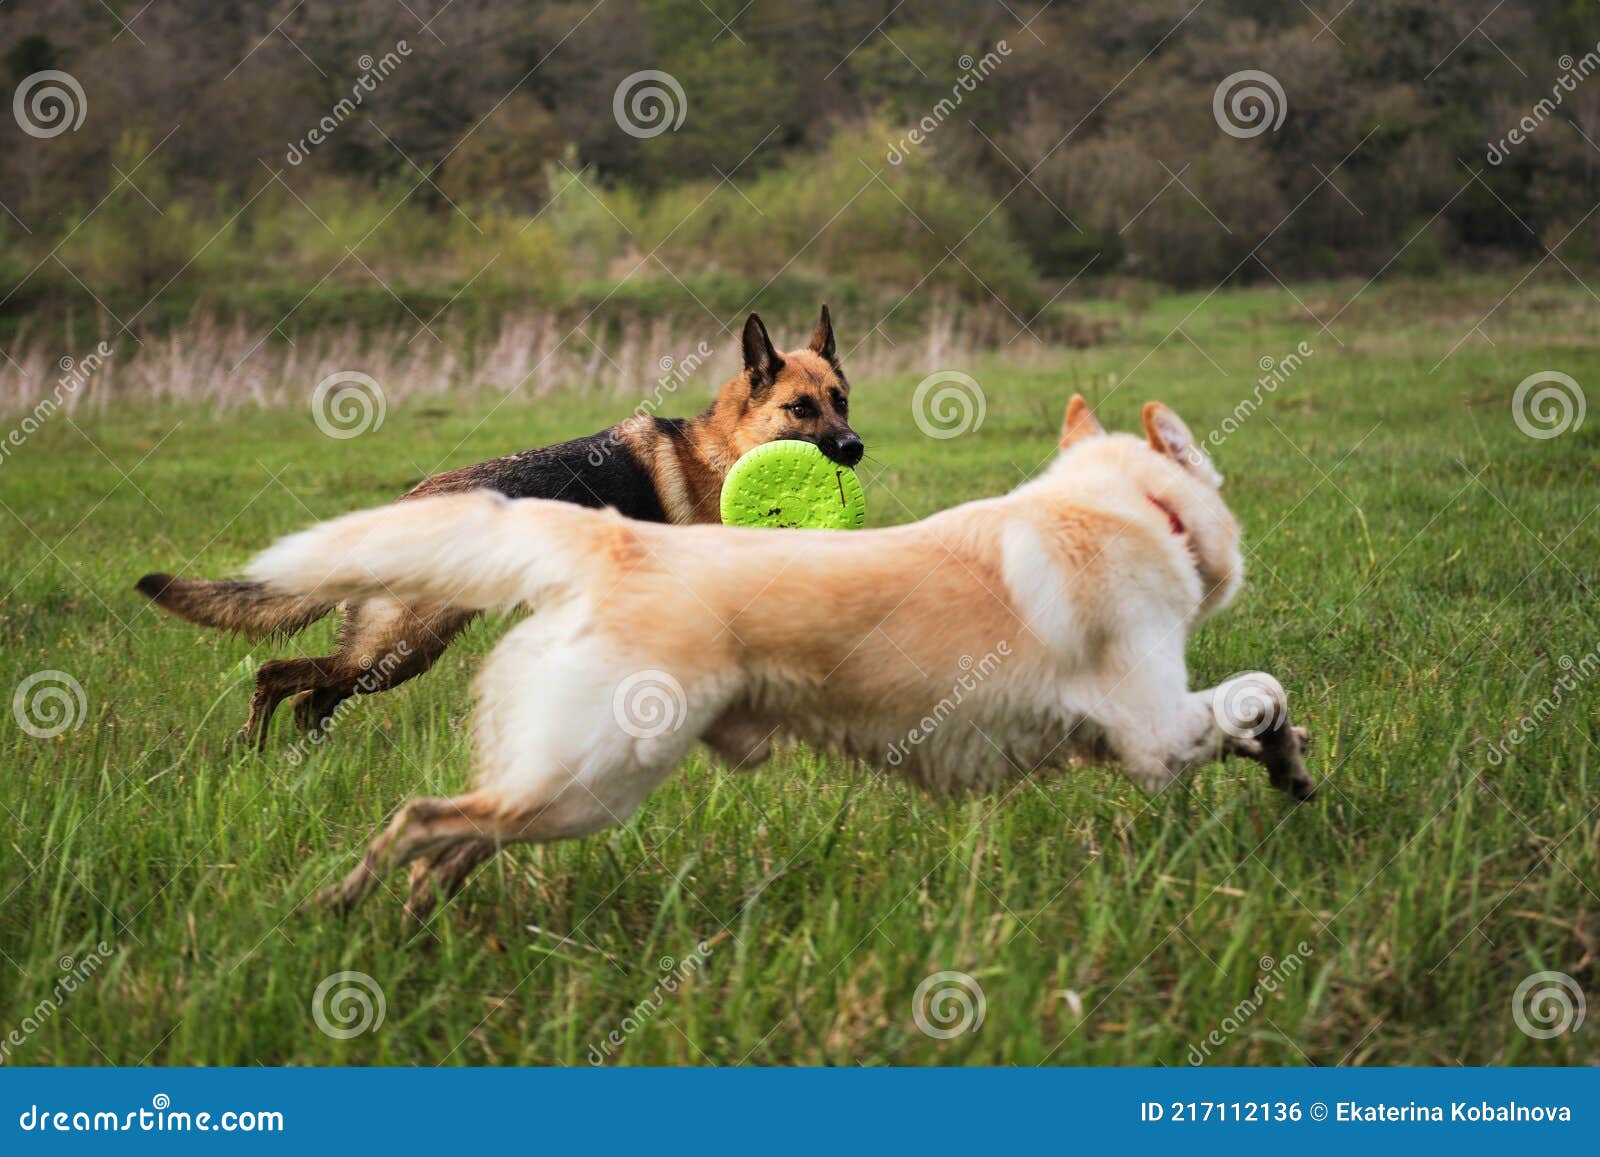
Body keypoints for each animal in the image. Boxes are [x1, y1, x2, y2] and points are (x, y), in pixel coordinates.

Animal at [137, 305, 864, 752]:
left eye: (841, 401)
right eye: (800, 409)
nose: (855, 448)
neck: (726, 452)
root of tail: (398, 507)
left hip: (392, 655)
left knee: (310, 698)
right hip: (396, 648)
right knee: (278, 676)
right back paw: (253, 750)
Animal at [243, 393, 1305, 921]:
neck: (1123, 506)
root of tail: (618, 544)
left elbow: (1255, 703)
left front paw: (1283, 764)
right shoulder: (1154, 731)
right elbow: (1257, 690)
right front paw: (1285, 755)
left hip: (555, 783)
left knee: (453, 843)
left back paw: (408, 925)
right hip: (592, 780)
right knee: (420, 822)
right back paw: (337, 906)